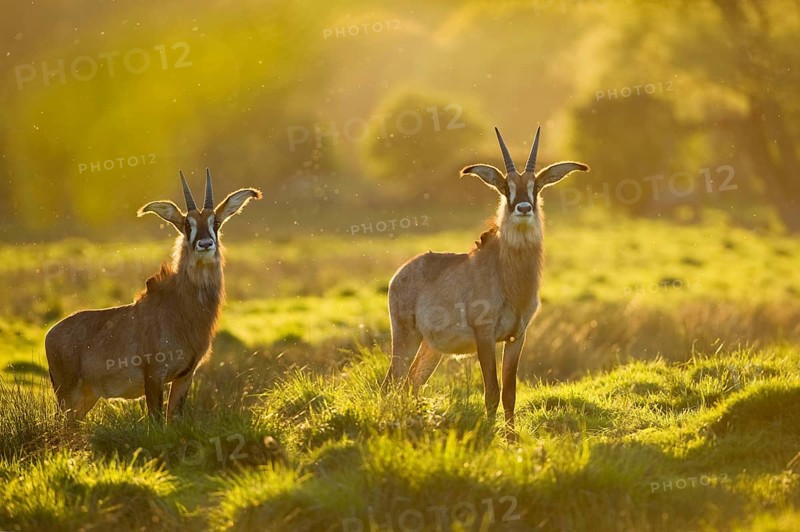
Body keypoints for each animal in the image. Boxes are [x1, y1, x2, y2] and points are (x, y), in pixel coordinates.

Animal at [45, 170, 261, 420]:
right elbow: (156, 420)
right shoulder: (154, 375)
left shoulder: (185, 376)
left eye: (215, 222)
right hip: (67, 393)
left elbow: (173, 418)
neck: (181, 308)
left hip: (87, 397)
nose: (205, 244)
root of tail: (49, 334)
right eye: (187, 224)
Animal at [382, 126, 588, 437]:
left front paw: (512, 437)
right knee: (391, 383)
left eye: (536, 187)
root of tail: (400, 274)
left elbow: (509, 392)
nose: (524, 208)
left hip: (431, 348)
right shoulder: (485, 335)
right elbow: (491, 390)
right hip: (406, 336)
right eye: (505, 187)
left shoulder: (517, 336)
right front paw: (493, 435)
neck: (509, 279)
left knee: (411, 383)